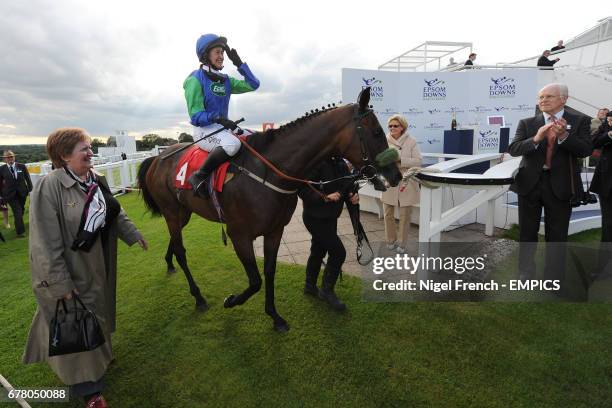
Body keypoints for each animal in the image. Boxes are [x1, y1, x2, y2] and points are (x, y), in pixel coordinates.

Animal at [137, 87, 402, 332]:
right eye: (377, 132)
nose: (396, 175)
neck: (268, 171)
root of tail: (158, 158)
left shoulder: (275, 231)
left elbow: (269, 271)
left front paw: (275, 316)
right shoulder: (239, 235)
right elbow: (255, 280)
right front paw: (232, 301)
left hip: (183, 213)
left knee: (175, 244)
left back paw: (170, 263)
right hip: (172, 212)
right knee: (182, 251)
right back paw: (198, 296)